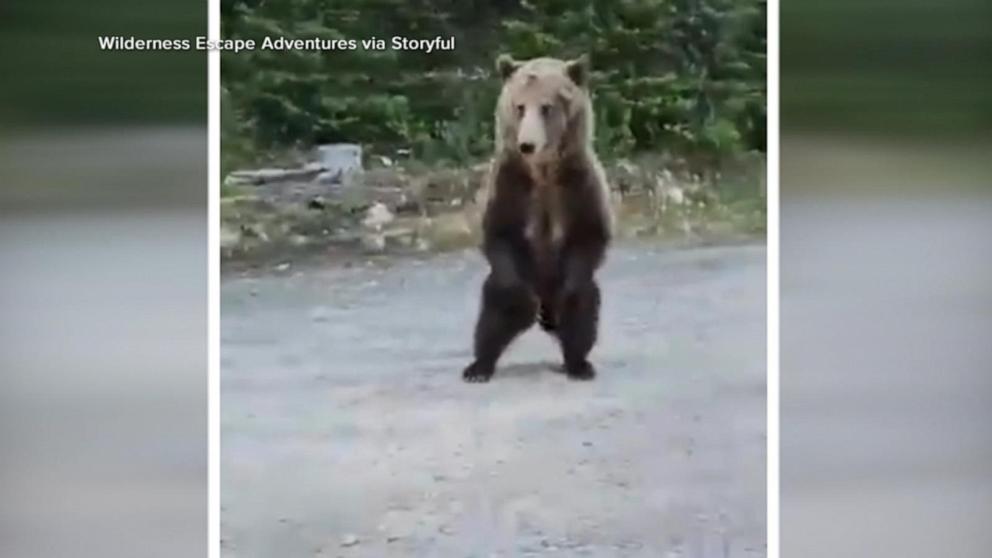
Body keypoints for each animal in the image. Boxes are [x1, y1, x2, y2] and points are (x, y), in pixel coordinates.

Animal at [462, 54, 613, 383]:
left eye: (547, 107)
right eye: (519, 106)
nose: (527, 144)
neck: (543, 172)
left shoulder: (578, 185)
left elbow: (589, 235)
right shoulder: (511, 185)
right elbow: (499, 235)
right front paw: (521, 305)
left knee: (585, 312)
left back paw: (578, 363)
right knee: (491, 314)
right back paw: (479, 367)